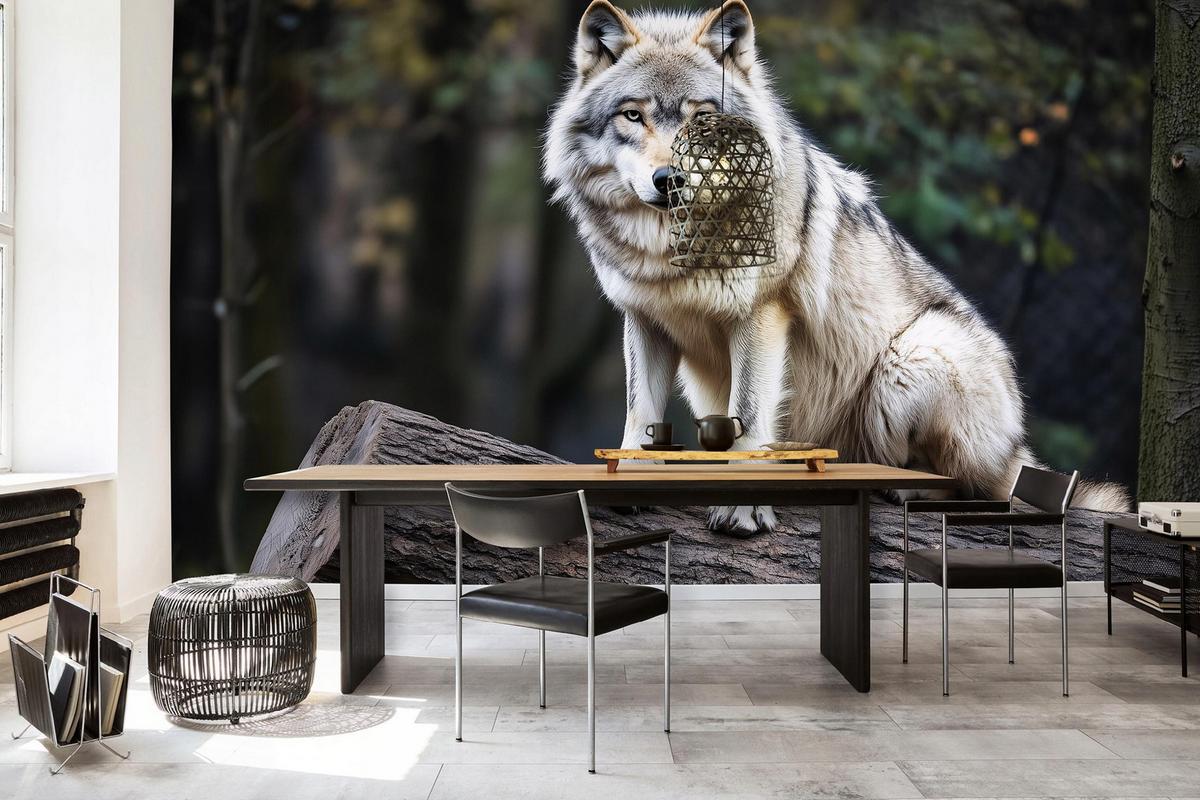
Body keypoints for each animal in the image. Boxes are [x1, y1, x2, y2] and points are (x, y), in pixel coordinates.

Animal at [543, 0, 1129, 535]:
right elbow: (640, 413)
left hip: (913, 358)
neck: (675, 253)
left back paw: (901, 485)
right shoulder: (645, 320)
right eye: (633, 115)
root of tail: (1018, 451)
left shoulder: (761, 316)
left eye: (702, 119)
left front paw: (743, 506)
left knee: (971, 486)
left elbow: (749, 414)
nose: (671, 181)